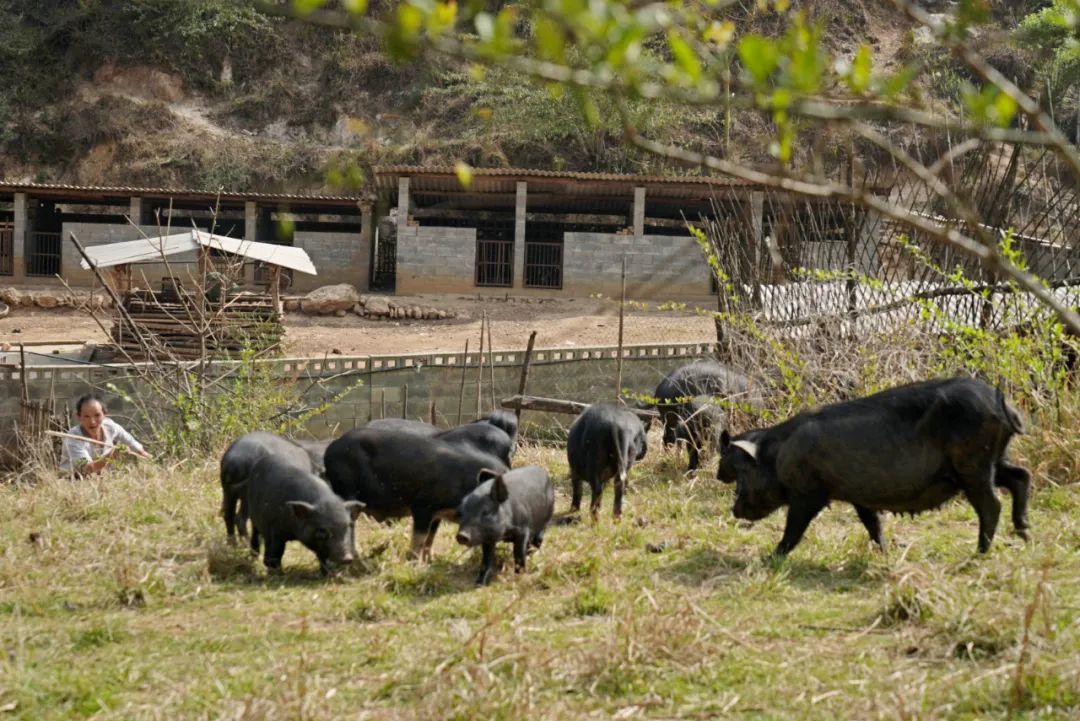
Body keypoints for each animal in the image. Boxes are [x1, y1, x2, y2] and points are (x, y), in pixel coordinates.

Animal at [321, 431, 507, 561]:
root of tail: (329, 450)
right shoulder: (422, 505)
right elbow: (420, 536)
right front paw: (414, 562)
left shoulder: (437, 513)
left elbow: (431, 537)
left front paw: (431, 560)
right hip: (346, 489)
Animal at [717, 379, 1028, 556]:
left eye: (743, 474)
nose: (734, 510)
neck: (777, 456)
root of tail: (1003, 405)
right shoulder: (859, 496)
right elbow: (872, 523)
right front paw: (885, 553)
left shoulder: (808, 494)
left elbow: (794, 529)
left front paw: (771, 558)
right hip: (992, 460)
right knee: (1020, 476)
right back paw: (1024, 533)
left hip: (973, 465)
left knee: (992, 504)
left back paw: (980, 553)